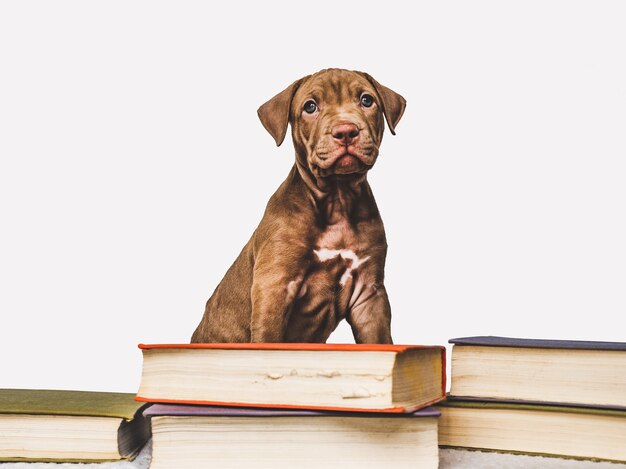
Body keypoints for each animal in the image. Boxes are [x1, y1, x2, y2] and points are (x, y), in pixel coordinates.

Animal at [190, 67, 404, 342]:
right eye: (310, 106)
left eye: (366, 100)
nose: (345, 131)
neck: (338, 200)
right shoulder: (274, 286)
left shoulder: (369, 294)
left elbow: (378, 341)